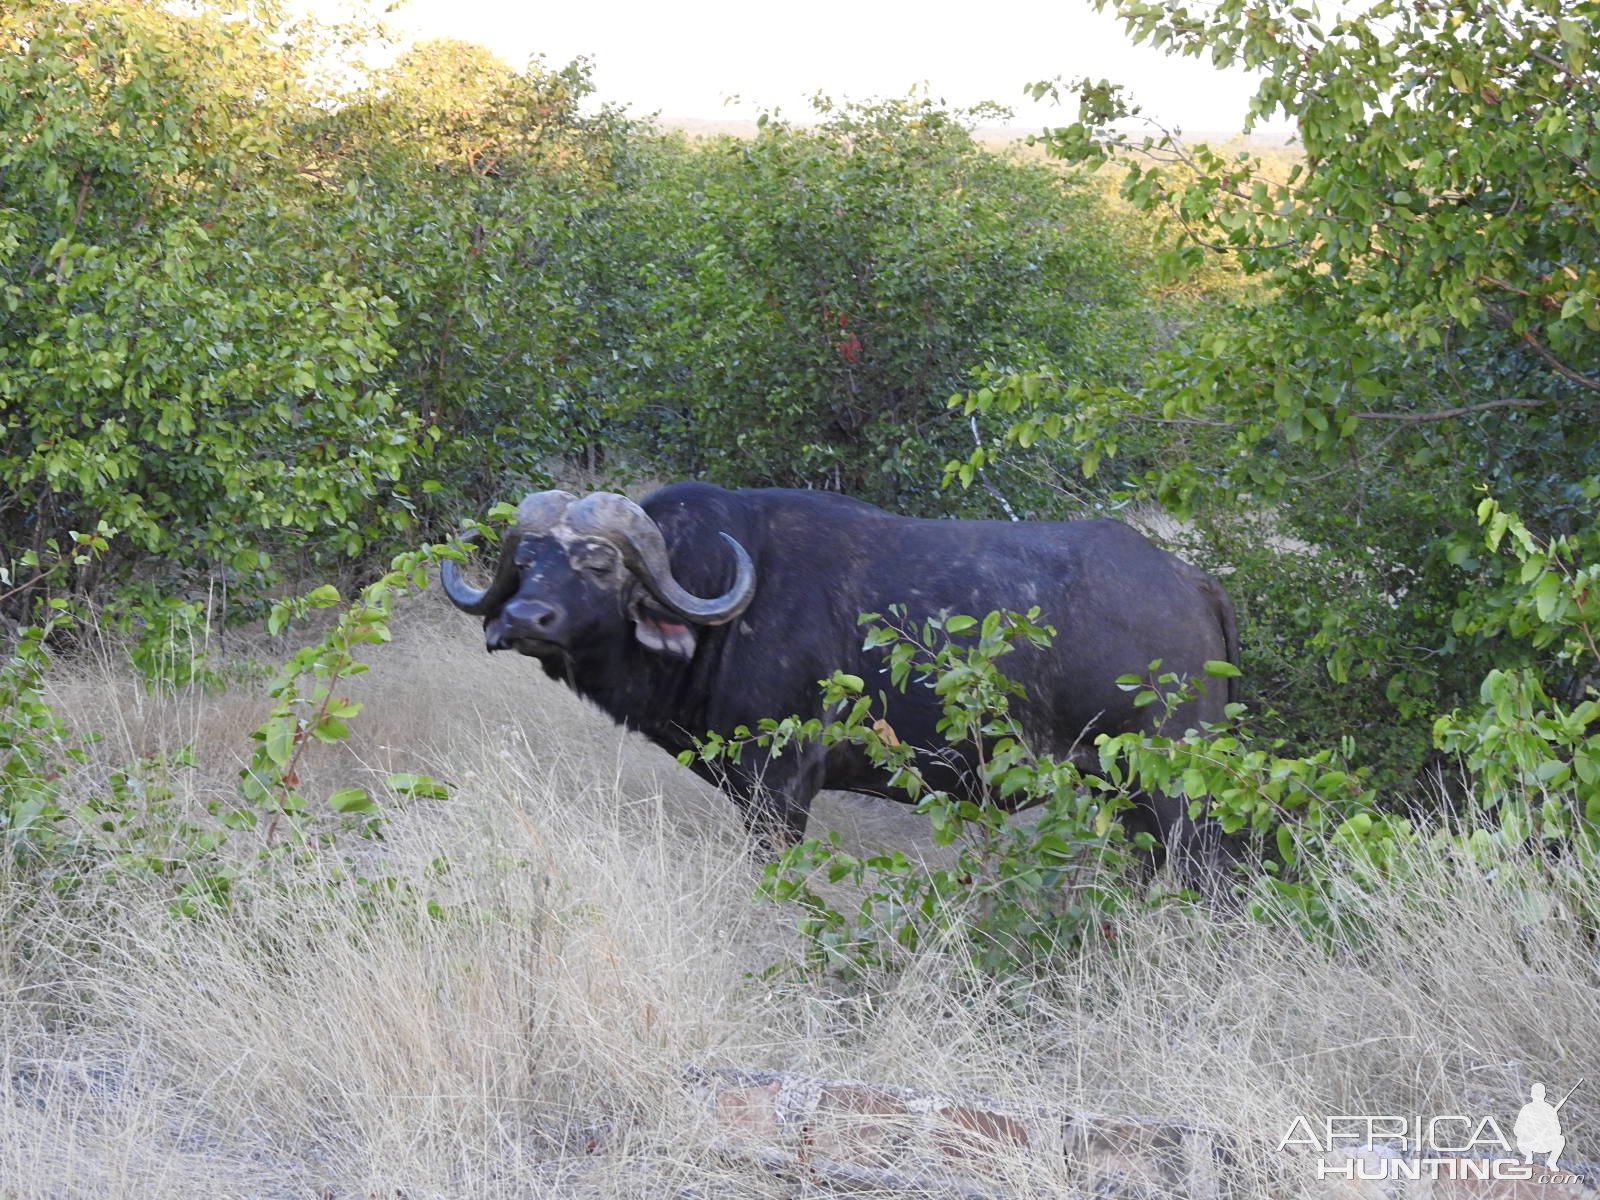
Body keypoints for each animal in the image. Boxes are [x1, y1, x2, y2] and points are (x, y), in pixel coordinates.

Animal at [444, 483, 1241, 876]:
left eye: (599, 562)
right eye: (528, 560)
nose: (523, 617)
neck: (724, 606)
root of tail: (1190, 582)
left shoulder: (779, 788)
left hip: (1177, 796)